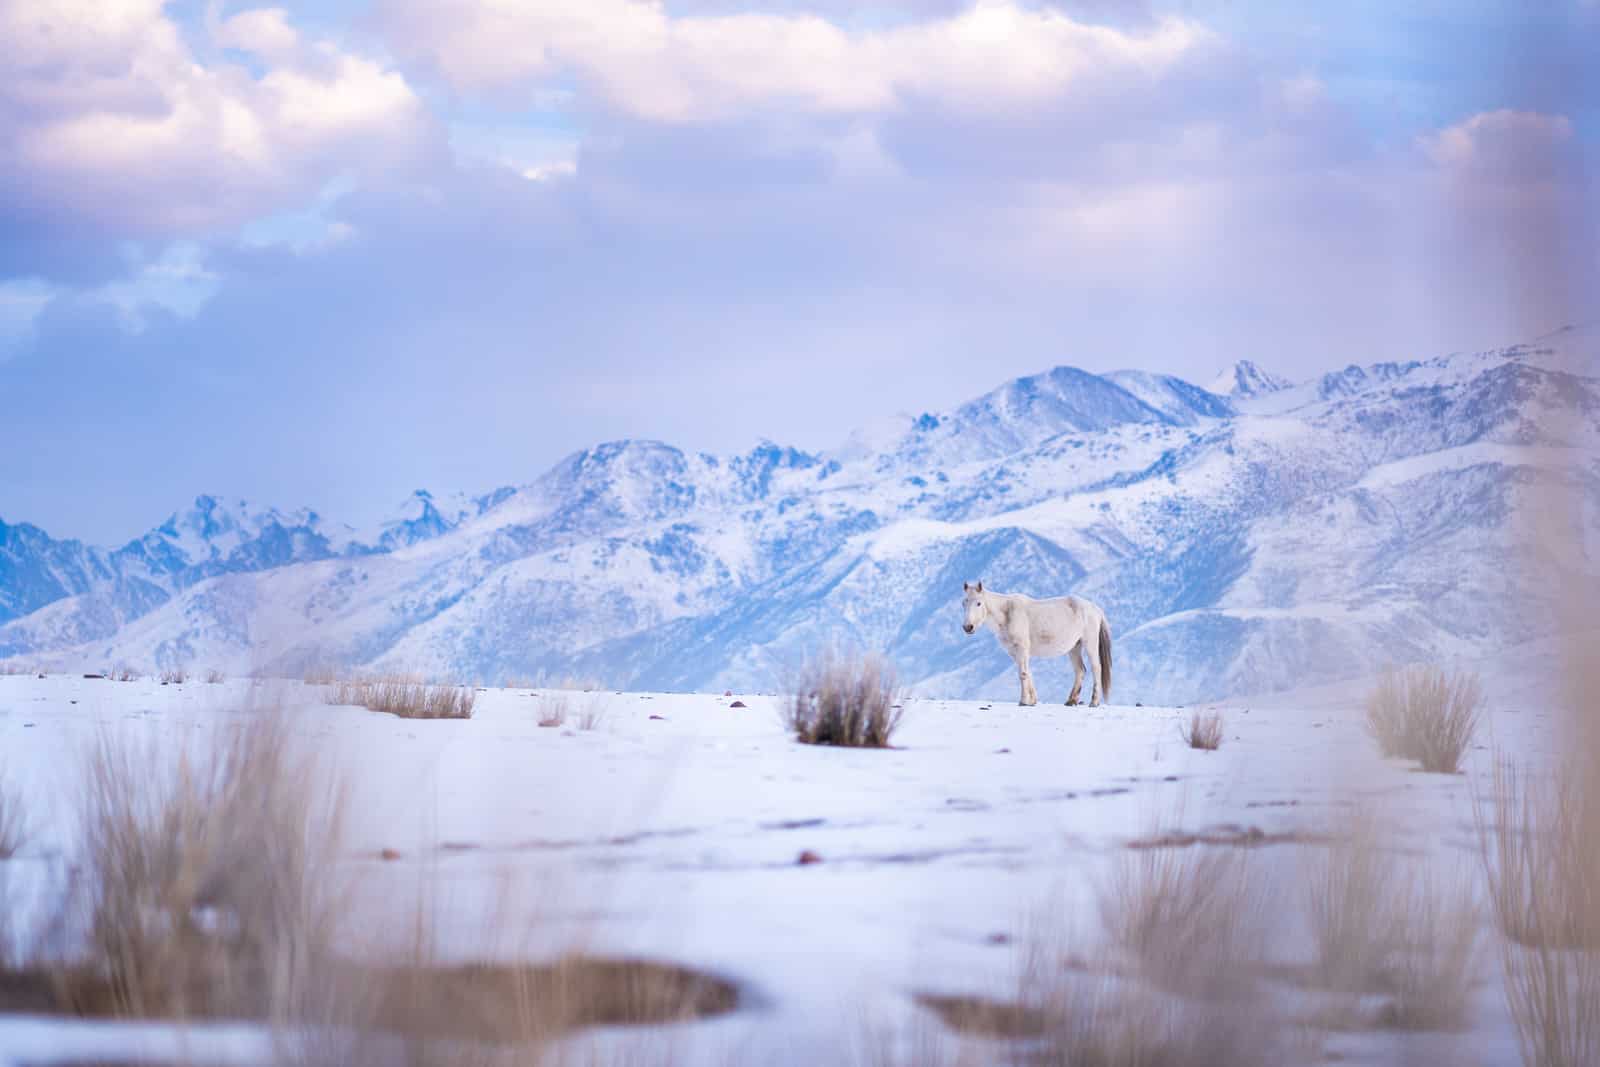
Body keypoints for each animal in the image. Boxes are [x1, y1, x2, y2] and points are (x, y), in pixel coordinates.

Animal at [960, 579, 1113, 703]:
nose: (968, 627)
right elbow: (1028, 673)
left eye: (979, 603)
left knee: (1096, 668)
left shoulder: (1022, 648)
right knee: (1080, 670)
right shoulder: (1014, 652)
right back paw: (1071, 701)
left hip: (1090, 644)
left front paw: (1023, 701)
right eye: (963, 603)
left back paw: (1094, 702)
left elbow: (1022, 674)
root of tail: (1095, 608)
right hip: (1074, 648)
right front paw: (1032, 701)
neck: (1007, 614)